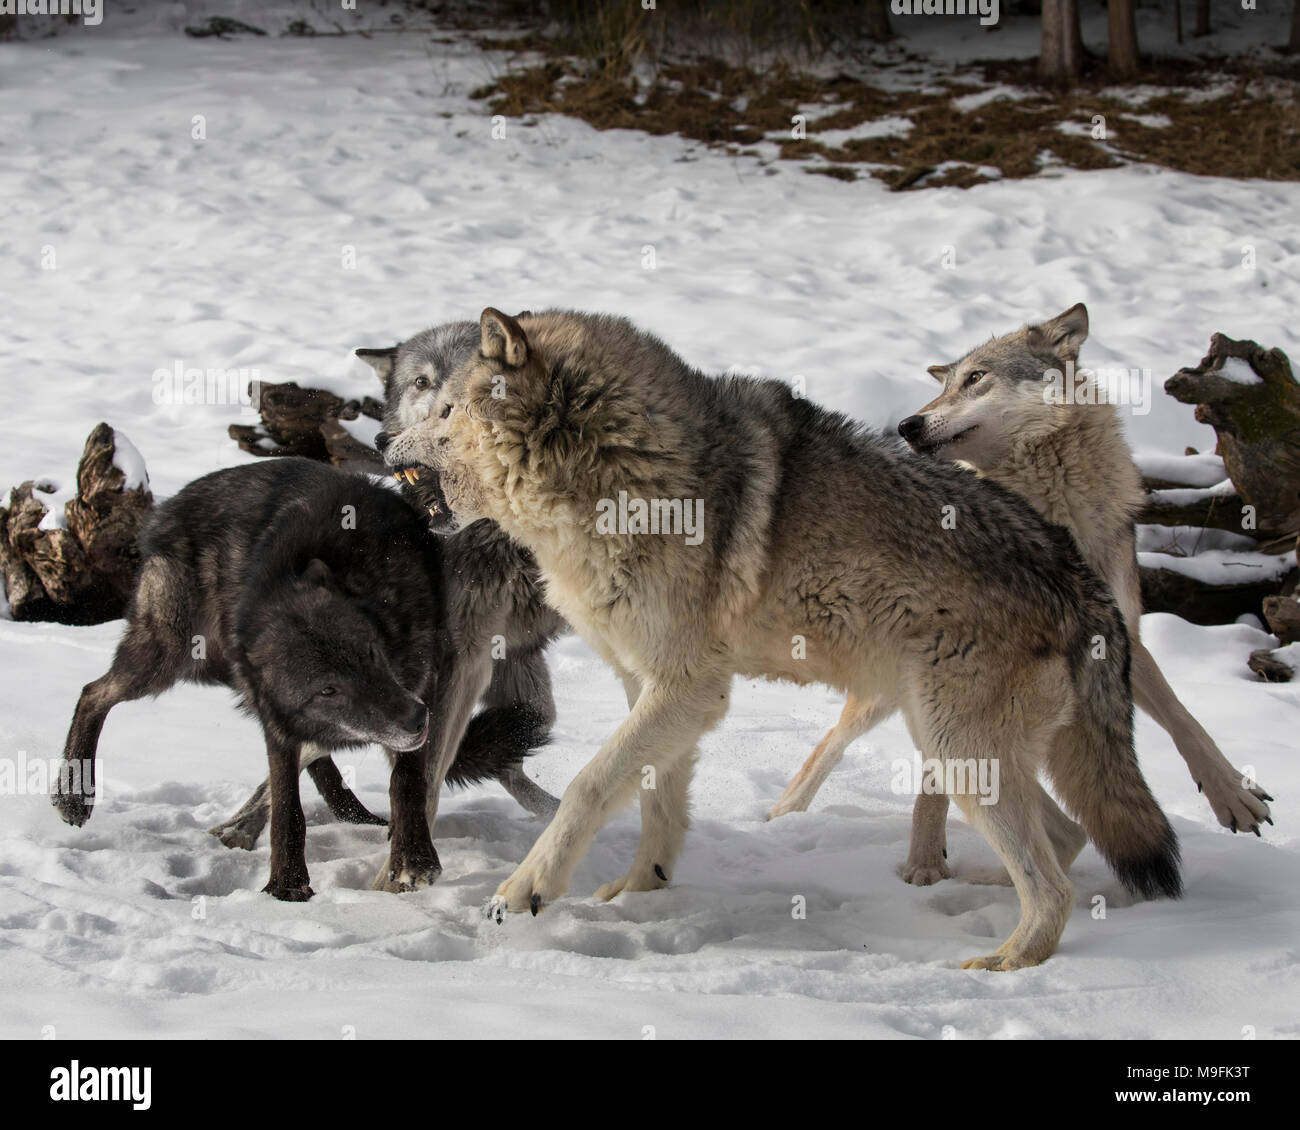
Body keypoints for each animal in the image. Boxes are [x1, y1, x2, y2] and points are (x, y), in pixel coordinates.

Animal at [54, 457, 452, 899]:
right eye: (327, 690)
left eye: (369, 653)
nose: (416, 720)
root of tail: (167, 507)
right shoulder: (277, 724)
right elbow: (287, 808)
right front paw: (287, 887)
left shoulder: (422, 683)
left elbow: (407, 780)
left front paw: (413, 859)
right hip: (168, 656)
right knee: (92, 692)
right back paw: (73, 798)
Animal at [379, 306, 1185, 967]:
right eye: (425, 400)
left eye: (445, 409)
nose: (385, 444)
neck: (615, 467)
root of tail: (1084, 584)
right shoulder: (658, 688)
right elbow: (655, 804)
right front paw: (640, 894)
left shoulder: (690, 689)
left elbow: (588, 785)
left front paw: (524, 892)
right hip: (954, 746)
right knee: (1068, 839)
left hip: (956, 747)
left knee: (1053, 886)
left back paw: (1002, 961)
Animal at [764, 308, 1274, 889]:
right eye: (942, 387)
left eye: (975, 378)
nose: (908, 425)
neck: (1053, 505)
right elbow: (932, 783)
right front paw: (924, 864)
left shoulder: (1119, 636)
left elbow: (1184, 717)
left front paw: (1233, 795)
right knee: (833, 741)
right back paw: (785, 817)